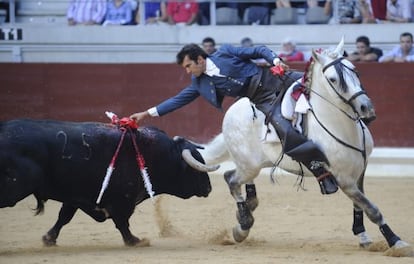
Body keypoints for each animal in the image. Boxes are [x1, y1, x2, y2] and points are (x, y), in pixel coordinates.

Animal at [0, 118, 213, 246]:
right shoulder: (122, 200)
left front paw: (49, 239)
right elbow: (122, 223)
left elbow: (64, 217)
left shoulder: (76, 195)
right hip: (13, 189)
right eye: (195, 169)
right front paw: (135, 241)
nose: (209, 188)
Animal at [199, 38, 412, 256]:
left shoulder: (359, 172)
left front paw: (363, 237)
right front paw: (396, 242)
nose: (365, 107)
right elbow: (372, 209)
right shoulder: (344, 180)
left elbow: (360, 206)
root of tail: (232, 110)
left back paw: (247, 210)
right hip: (249, 165)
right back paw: (243, 226)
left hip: (254, 164)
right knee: (232, 180)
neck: (341, 126)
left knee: (234, 177)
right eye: (333, 79)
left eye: (355, 70)